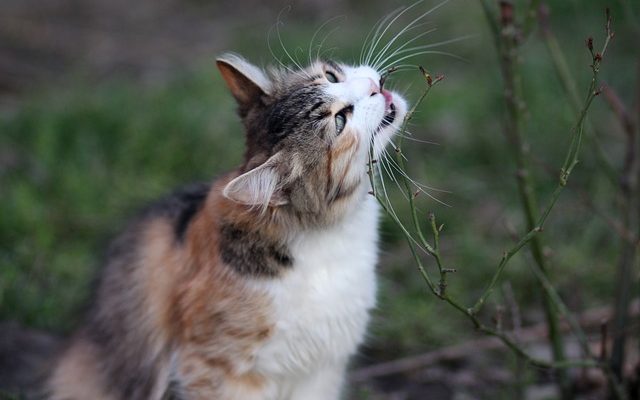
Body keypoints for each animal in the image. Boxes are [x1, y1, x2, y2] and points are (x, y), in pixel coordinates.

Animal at [3, 54, 404, 400]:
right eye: (340, 120)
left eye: (332, 76)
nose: (372, 86)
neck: (328, 234)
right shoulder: (217, 369)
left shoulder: (321, 370)